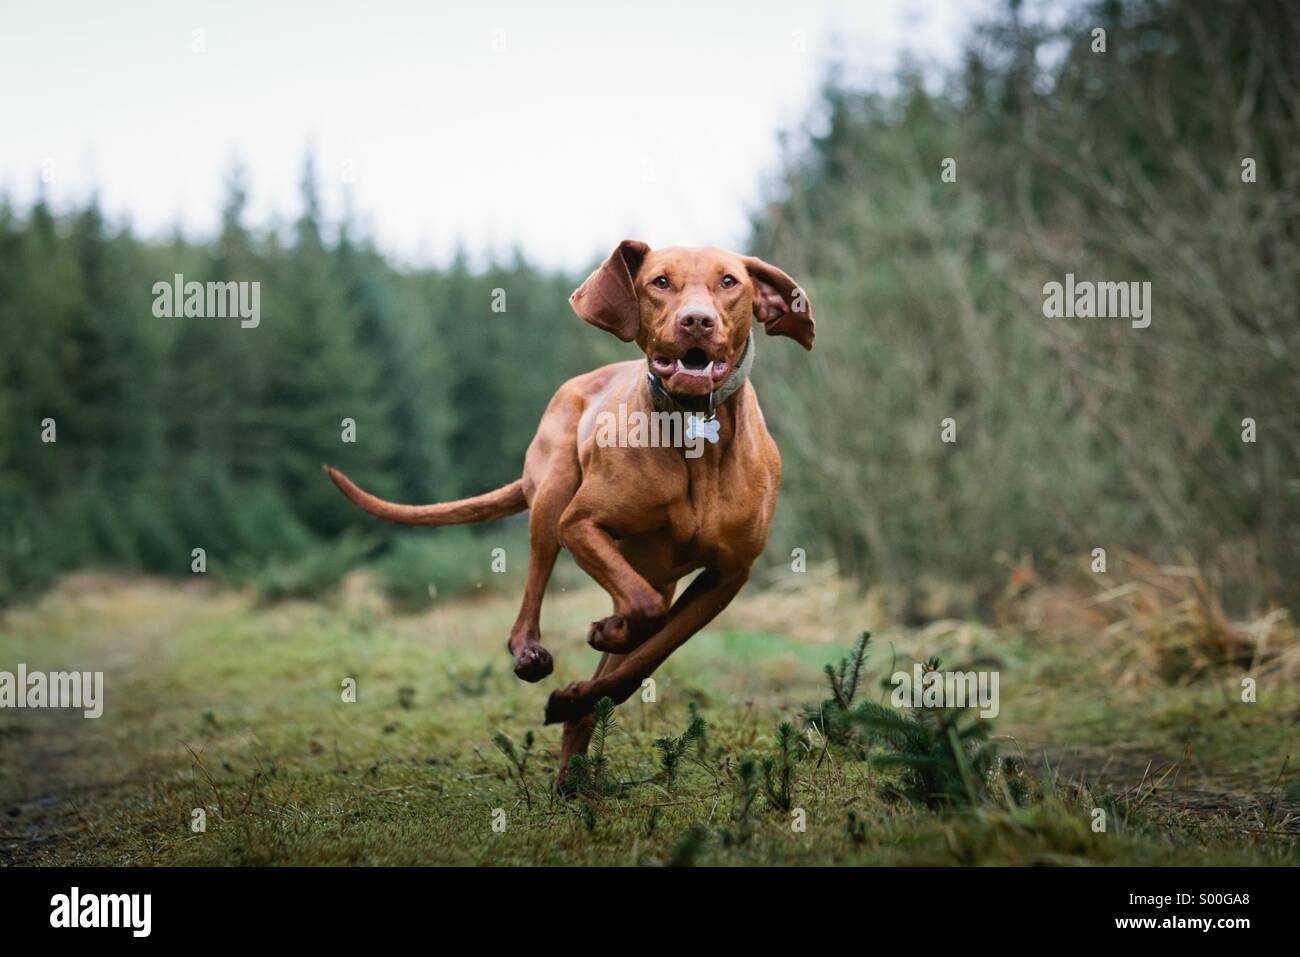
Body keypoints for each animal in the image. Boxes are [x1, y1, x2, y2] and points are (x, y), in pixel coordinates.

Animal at [325, 240, 811, 785]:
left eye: (730, 282)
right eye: (660, 282)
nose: (696, 321)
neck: (693, 435)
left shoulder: (729, 574)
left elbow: (647, 653)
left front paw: (581, 689)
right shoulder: (580, 524)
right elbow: (642, 612)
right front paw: (604, 635)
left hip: (653, 567)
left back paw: (574, 766)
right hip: (553, 492)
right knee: (535, 597)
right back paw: (533, 658)